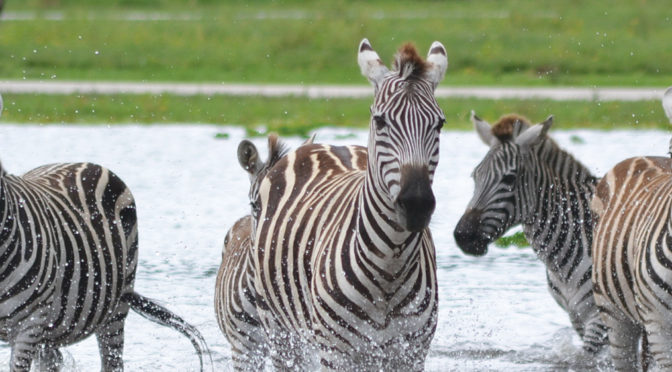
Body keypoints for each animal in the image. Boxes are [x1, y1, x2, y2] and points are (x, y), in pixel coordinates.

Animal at [219, 39, 446, 370]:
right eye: (380, 120)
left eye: (439, 124)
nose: (416, 203)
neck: (389, 270)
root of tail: (327, 144)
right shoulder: (334, 352)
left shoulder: (411, 353)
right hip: (280, 331)